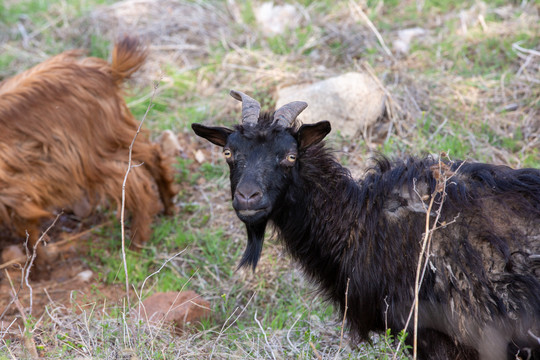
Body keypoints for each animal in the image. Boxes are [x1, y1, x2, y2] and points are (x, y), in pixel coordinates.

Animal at [0, 36, 177, 276]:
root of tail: (108, 73)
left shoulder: (16, 190)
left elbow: (27, 230)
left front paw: (39, 269)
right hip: (115, 136)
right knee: (153, 155)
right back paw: (169, 208)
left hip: (91, 154)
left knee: (135, 183)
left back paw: (135, 243)